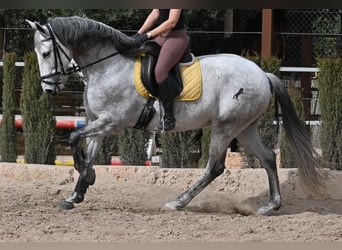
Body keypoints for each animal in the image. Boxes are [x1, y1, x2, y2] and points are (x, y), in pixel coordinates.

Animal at [26, 16, 326, 215]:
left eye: (46, 53)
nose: (48, 88)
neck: (107, 66)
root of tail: (262, 73)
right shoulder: (98, 123)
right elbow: (84, 151)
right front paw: (76, 194)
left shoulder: (112, 123)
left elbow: (74, 137)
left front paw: (86, 179)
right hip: (244, 128)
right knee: (267, 158)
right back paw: (270, 205)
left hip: (225, 127)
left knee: (214, 168)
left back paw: (178, 202)